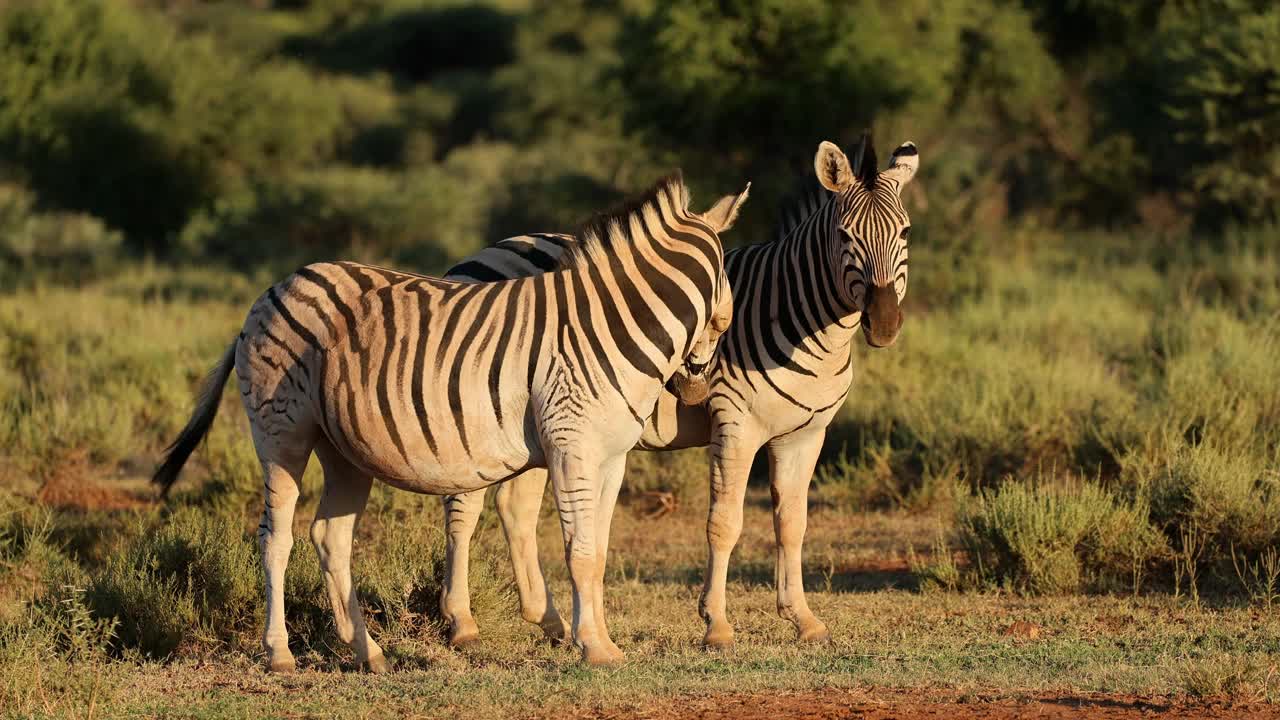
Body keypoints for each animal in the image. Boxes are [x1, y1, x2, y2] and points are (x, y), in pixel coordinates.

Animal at [149, 172, 747, 666]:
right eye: (727, 291)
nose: (694, 389)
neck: (612, 324)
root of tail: (274, 289)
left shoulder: (611, 456)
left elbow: (596, 552)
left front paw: (601, 640)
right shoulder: (570, 443)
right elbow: (578, 552)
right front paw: (594, 650)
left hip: (342, 448)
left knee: (329, 537)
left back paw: (368, 653)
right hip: (282, 435)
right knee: (275, 537)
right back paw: (280, 654)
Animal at [435, 133, 916, 645]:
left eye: (905, 233)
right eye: (845, 236)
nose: (884, 324)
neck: (798, 320)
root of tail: (485, 250)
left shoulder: (806, 434)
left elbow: (793, 523)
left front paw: (802, 618)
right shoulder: (735, 422)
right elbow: (725, 523)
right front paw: (717, 624)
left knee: (515, 506)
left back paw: (550, 620)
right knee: (464, 505)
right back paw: (462, 621)